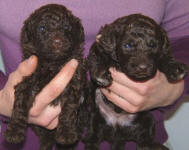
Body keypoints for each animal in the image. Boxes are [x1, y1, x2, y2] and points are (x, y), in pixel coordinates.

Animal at [3, 3, 86, 150]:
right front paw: (14, 132)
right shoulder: (27, 80)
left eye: (67, 27)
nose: (58, 41)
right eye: (42, 28)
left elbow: (69, 107)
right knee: (46, 138)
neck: (51, 63)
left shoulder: (74, 81)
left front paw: (66, 134)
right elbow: (19, 105)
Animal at [85, 14, 188, 150]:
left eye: (153, 45)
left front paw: (175, 67)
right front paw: (101, 74)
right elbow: (98, 56)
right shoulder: (100, 45)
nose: (143, 67)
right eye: (128, 45)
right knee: (92, 138)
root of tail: (118, 134)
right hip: (94, 119)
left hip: (148, 120)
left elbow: (162, 57)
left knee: (144, 141)